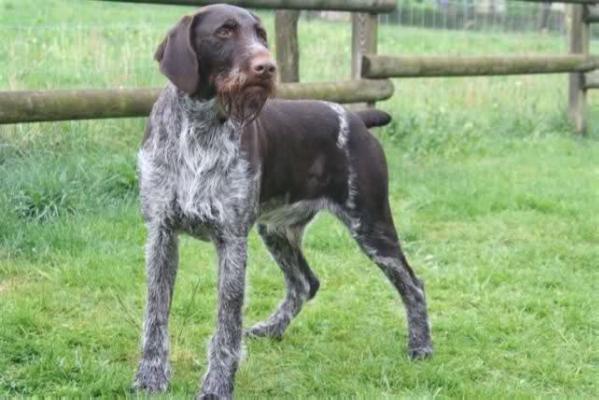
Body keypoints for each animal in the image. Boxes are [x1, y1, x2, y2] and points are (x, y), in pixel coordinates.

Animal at [135, 4, 432, 398]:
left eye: (261, 34)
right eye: (225, 31)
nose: (267, 66)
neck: (200, 130)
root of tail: (355, 117)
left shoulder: (232, 240)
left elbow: (226, 325)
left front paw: (217, 385)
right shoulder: (161, 233)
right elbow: (156, 313)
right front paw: (151, 376)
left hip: (371, 224)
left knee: (413, 285)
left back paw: (421, 346)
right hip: (276, 230)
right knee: (306, 283)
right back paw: (272, 329)